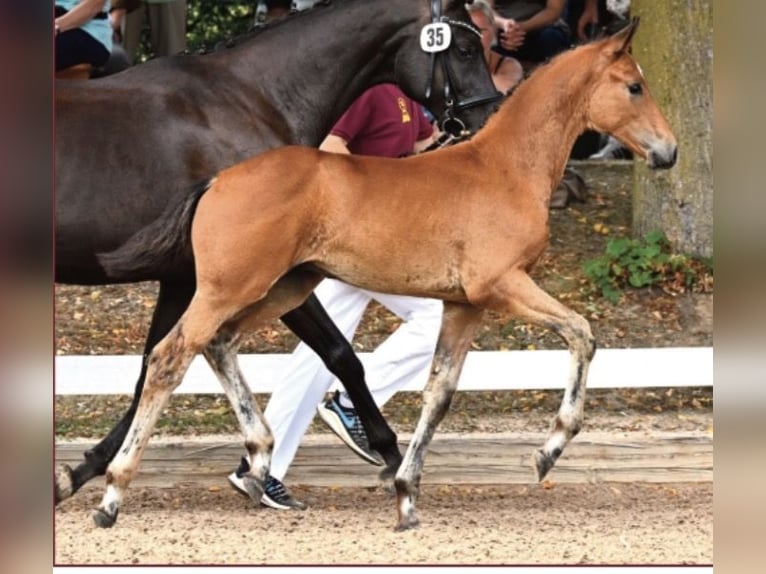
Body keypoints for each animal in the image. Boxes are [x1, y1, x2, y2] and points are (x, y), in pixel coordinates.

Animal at [54, 0, 501, 504]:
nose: (491, 118)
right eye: (464, 49)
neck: (250, 100)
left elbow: (150, 369)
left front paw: (82, 469)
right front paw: (388, 454)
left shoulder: (183, 278)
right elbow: (341, 353)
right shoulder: (258, 272)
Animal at [92, 17, 677, 530]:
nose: (668, 151)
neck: (505, 169)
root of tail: (217, 180)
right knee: (169, 357)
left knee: (218, 345)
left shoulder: (463, 305)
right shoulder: (500, 284)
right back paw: (113, 495)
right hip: (228, 288)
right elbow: (581, 333)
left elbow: (440, 391)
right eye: (634, 86)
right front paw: (548, 450)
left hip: (284, 288)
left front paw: (407, 497)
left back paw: (258, 461)